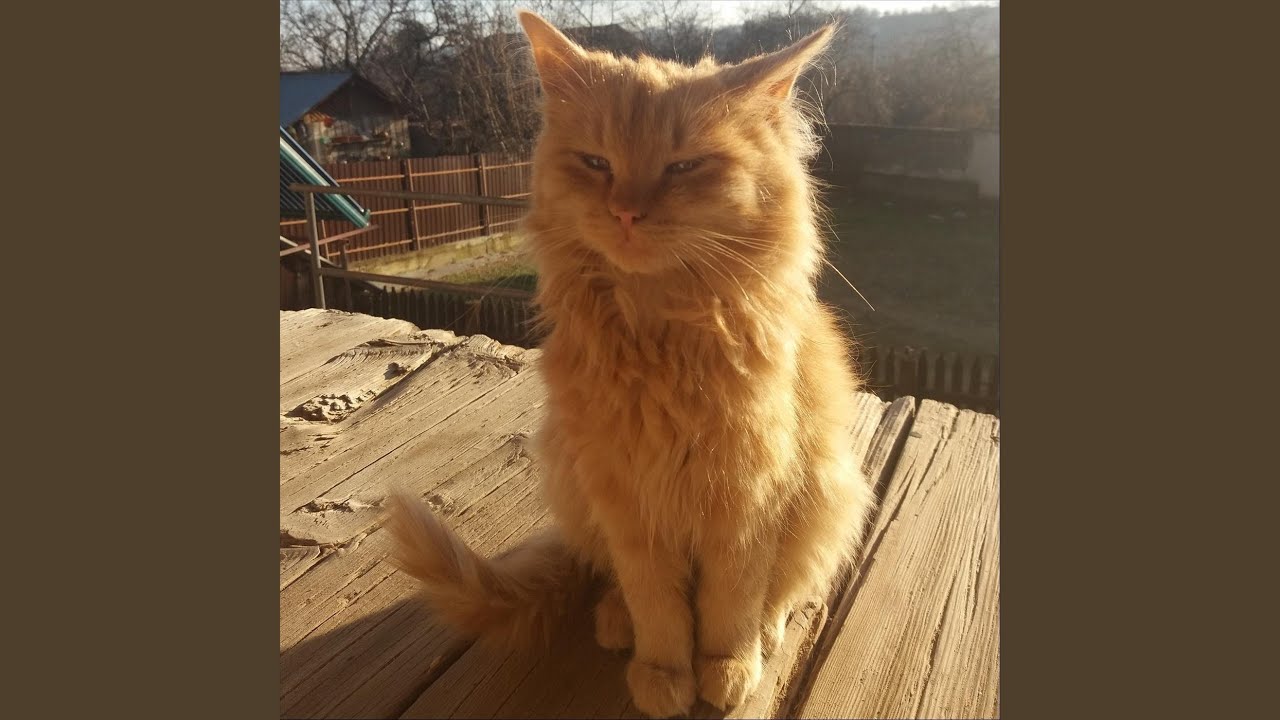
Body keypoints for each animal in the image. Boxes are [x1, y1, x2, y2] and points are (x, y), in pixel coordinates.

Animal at [388, 11, 875, 718]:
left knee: (785, 589)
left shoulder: (747, 494)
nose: (625, 211)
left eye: (684, 167)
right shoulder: (626, 498)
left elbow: (730, 602)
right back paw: (617, 621)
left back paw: (766, 633)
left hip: (829, 491)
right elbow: (658, 604)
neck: (659, 340)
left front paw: (727, 668)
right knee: (614, 582)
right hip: (574, 478)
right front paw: (664, 673)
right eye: (596, 162)